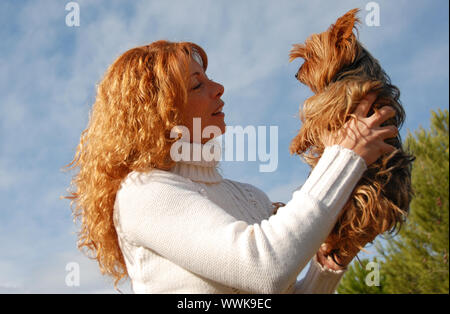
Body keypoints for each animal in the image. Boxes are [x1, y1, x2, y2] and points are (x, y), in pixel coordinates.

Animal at [290, 8, 414, 264]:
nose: (296, 74)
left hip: (363, 195)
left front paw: (297, 142)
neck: (351, 66)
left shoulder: (347, 94)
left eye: (311, 56)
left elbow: (316, 107)